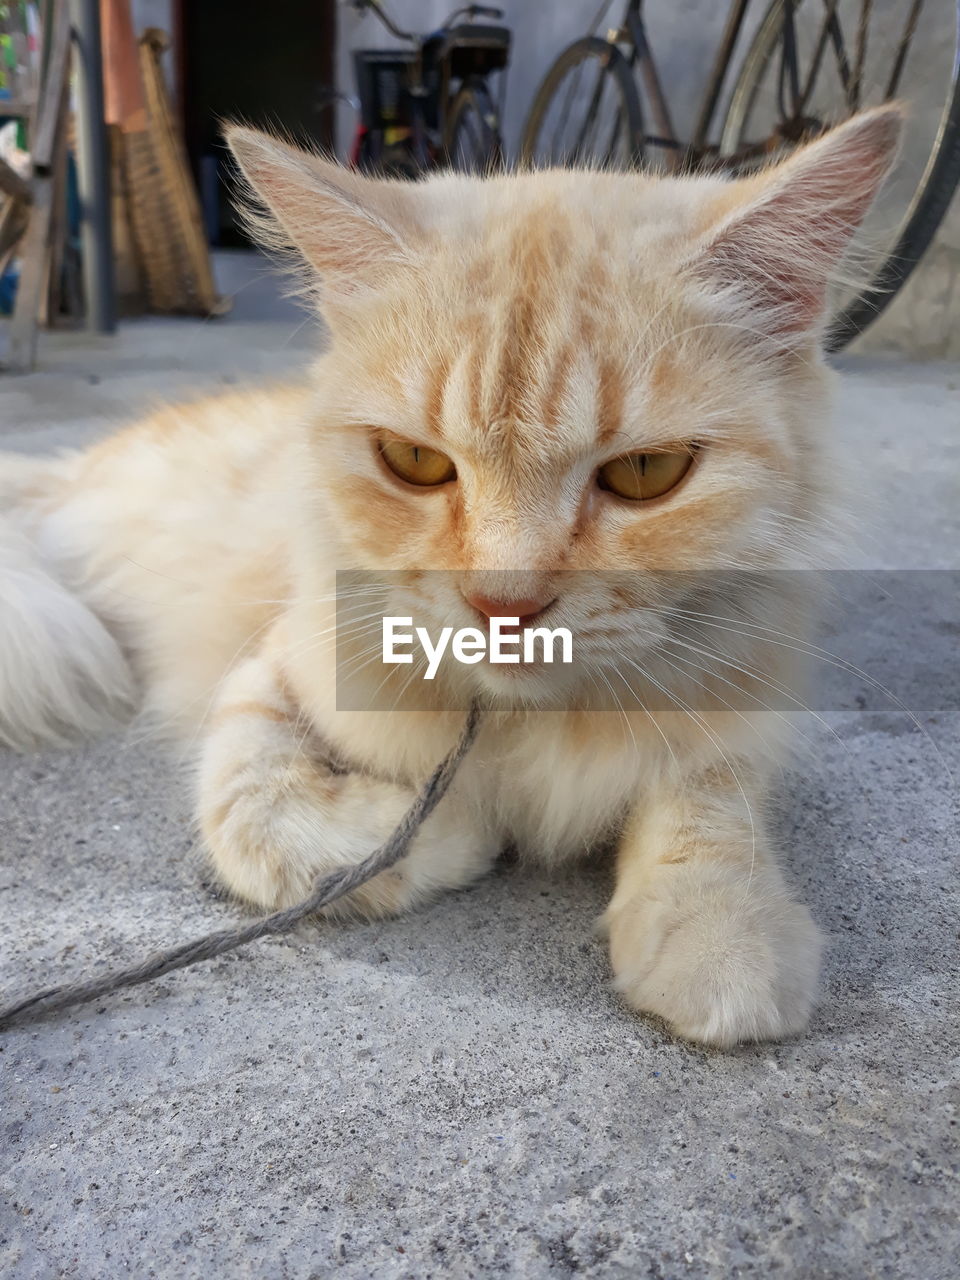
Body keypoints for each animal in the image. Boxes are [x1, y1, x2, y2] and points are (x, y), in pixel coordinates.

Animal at [0, 107, 901, 1049]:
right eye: (414, 463)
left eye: (647, 473)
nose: (504, 604)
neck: (532, 725)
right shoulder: (267, 670)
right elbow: (258, 808)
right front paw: (454, 833)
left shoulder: (737, 696)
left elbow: (710, 803)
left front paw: (720, 932)